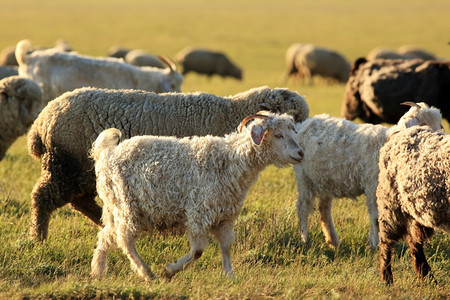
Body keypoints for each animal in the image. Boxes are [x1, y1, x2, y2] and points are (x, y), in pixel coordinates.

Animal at [27, 85, 310, 240]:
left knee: (81, 202)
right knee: (43, 199)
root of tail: (41, 123)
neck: (230, 115)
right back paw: (38, 239)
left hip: (80, 172)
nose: (302, 151)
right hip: (64, 166)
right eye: (289, 122)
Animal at [89, 111, 304, 280]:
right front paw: (171, 270)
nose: (301, 153)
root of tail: (107, 154)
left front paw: (230, 275)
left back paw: (98, 270)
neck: (230, 161)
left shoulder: (225, 217)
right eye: (278, 135)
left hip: (116, 206)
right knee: (124, 238)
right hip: (128, 206)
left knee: (107, 234)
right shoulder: (199, 213)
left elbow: (225, 247)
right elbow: (198, 251)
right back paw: (147, 273)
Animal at [292, 101, 442, 248]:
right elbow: (376, 218)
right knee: (303, 207)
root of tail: (304, 124)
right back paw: (305, 240)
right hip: (304, 178)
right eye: (422, 124)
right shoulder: (373, 187)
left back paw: (333, 241)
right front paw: (375, 245)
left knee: (324, 209)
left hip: (325, 180)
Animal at [378, 113, 448, 284]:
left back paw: (425, 274)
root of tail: (400, 132)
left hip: (418, 207)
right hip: (390, 201)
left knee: (414, 239)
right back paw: (387, 278)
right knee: (386, 241)